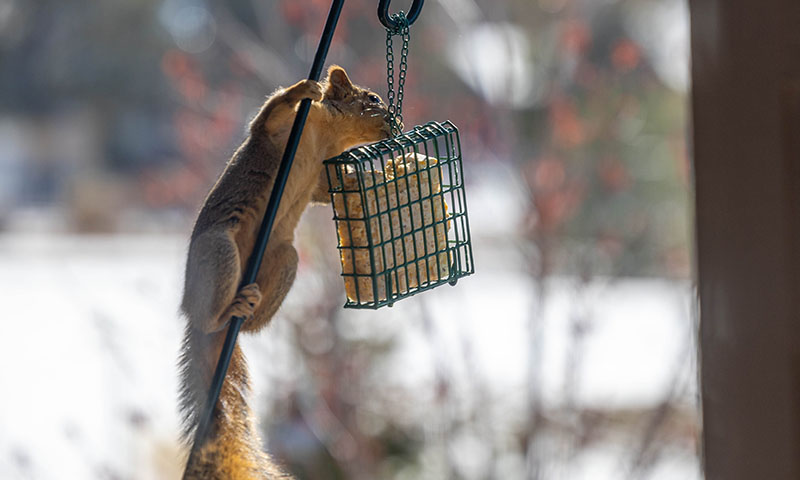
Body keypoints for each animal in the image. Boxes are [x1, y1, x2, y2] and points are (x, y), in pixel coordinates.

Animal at [179, 65, 391, 479]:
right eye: (372, 98)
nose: (394, 120)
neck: (329, 135)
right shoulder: (278, 130)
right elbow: (269, 113)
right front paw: (302, 89)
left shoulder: (323, 174)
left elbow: (327, 190)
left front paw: (361, 180)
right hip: (218, 251)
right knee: (212, 317)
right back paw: (223, 313)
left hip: (286, 258)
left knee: (252, 325)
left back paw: (247, 305)